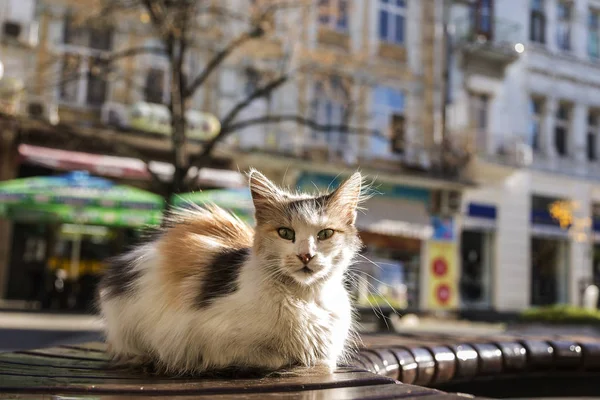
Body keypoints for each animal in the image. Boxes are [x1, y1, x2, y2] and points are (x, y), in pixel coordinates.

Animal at [97, 169, 366, 376]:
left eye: (325, 234)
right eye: (285, 233)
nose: (305, 255)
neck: (305, 297)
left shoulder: (329, 349)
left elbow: (324, 361)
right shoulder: (200, 339)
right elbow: (279, 357)